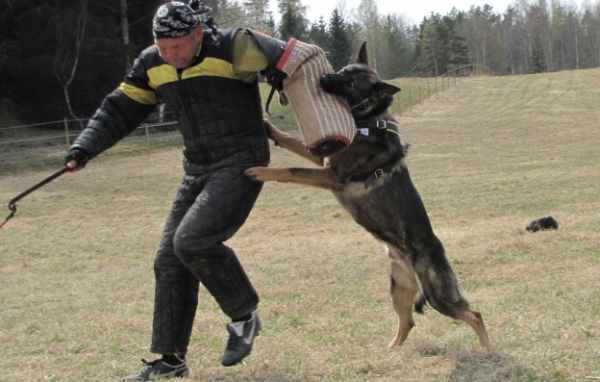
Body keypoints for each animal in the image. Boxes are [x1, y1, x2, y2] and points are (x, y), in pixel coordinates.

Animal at [246, 42, 490, 350]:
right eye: (342, 70)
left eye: (351, 84)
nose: (323, 78)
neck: (369, 121)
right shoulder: (326, 160)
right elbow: (292, 142)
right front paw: (269, 128)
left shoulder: (332, 176)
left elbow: (291, 169)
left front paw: (261, 171)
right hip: (398, 290)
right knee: (408, 321)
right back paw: (392, 350)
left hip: (438, 296)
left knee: (474, 314)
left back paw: (488, 351)